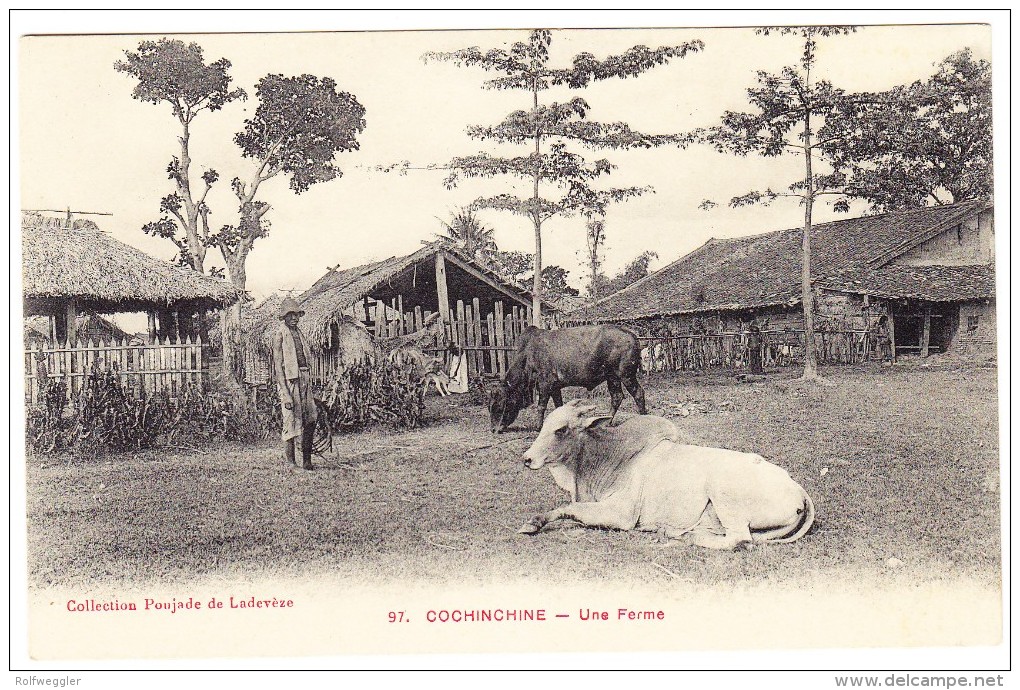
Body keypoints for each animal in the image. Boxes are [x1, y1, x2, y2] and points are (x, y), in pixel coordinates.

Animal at [487, 322, 644, 430]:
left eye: (499, 406)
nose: (494, 429)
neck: (528, 354)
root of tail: (632, 336)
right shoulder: (555, 386)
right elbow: (558, 405)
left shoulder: (545, 383)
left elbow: (541, 406)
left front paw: (538, 427)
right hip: (612, 378)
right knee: (617, 397)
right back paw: (606, 422)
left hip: (626, 375)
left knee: (638, 393)